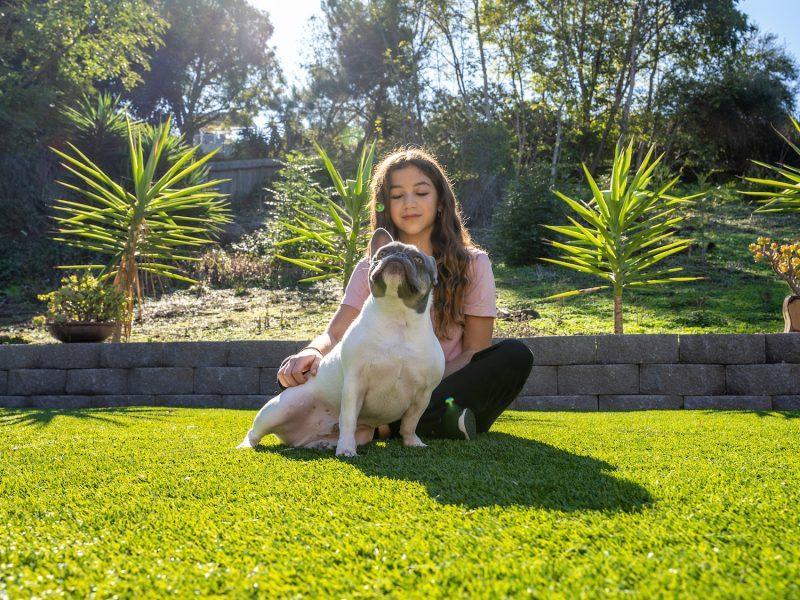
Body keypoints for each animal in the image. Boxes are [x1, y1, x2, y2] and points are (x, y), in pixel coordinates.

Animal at [237, 227, 445, 457]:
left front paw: (412, 442)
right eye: (382, 253)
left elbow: (410, 422)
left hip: (361, 434)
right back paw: (246, 446)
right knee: (254, 432)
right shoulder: (355, 384)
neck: (397, 318)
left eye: (418, 259)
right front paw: (346, 449)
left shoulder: (423, 394)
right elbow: (348, 419)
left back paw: (323, 444)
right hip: (278, 409)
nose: (397, 256)